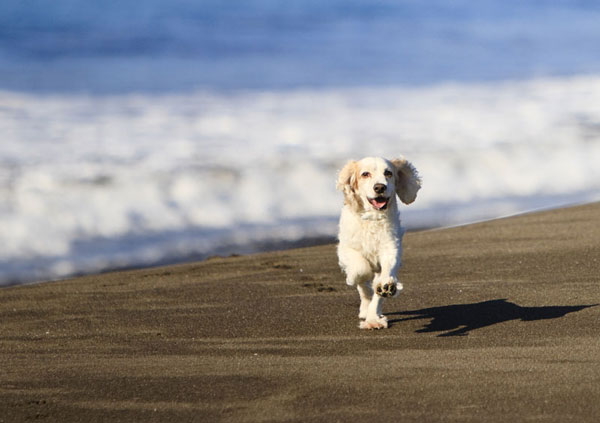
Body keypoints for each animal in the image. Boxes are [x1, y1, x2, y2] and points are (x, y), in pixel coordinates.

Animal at [338, 157, 422, 330]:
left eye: (388, 173)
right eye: (365, 174)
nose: (379, 187)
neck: (373, 218)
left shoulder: (391, 248)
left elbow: (384, 274)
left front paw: (386, 287)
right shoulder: (346, 249)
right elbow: (360, 270)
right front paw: (357, 278)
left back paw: (373, 317)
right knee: (363, 288)